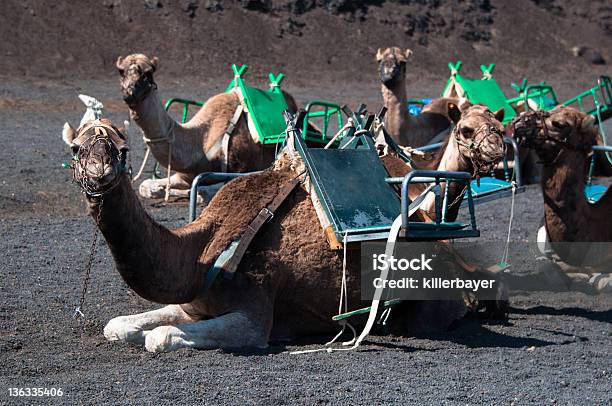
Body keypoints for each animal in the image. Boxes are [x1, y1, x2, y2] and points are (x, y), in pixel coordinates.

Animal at [63, 107, 506, 352]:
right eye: (76, 148)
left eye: (122, 149)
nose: (98, 171)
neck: (202, 254)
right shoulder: (193, 304)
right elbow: (119, 326)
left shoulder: (254, 317)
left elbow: (161, 337)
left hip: (428, 305)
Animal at [110, 54, 302, 200]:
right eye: (121, 72)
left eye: (148, 74)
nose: (129, 93)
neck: (199, 142)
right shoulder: (184, 174)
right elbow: (145, 186)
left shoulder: (240, 169)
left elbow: (204, 191)